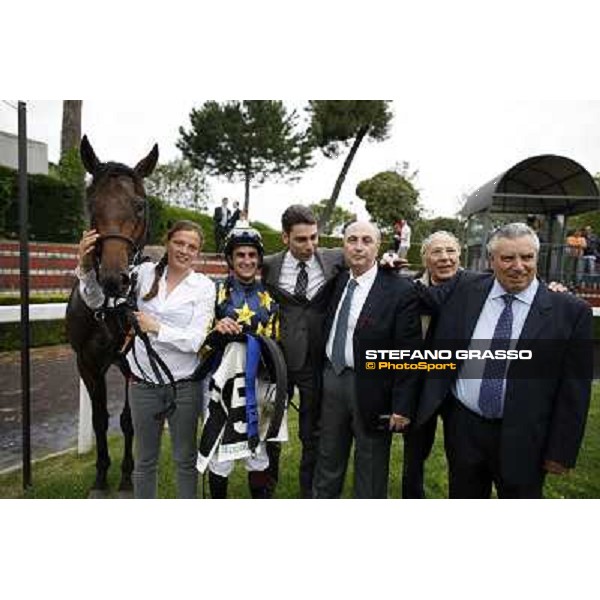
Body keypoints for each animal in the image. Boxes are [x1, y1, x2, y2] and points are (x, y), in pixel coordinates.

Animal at [65, 136, 157, 496]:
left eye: (140, 205)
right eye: (92, 204)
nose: (113, 278)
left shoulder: (134, 363)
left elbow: (130, 421)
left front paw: (128, 477)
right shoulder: (87, 363)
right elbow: (100, 419)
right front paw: (101, 477)